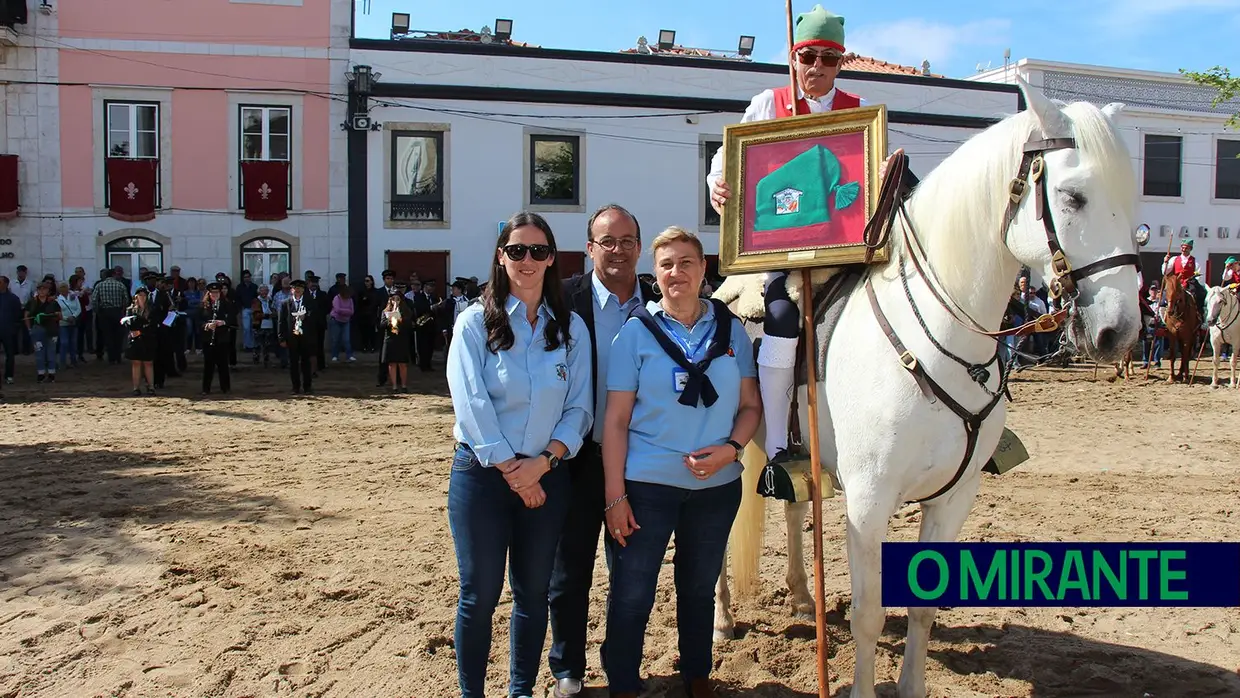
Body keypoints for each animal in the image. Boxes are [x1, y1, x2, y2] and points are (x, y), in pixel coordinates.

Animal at [714, 77, 1135, 698]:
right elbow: (868, 614)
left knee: (792, 507)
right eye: (1073, 196)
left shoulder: (953, 499)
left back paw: (802, 597)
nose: (1120, 330)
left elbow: (922, 609)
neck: (938, 336)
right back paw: (721, 619)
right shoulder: (869, 500)